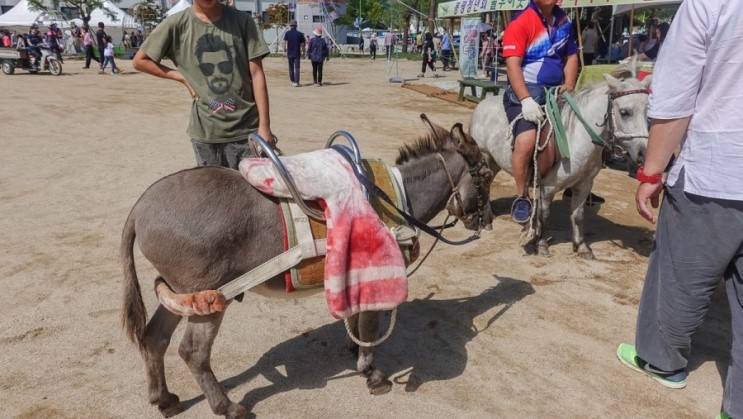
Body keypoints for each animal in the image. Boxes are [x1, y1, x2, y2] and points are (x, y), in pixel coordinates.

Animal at [470, 63, 652, 260]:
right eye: (624, 112)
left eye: (648, 114)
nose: (643, 154)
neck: (577, 136)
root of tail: (483, 104)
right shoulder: (548, 186)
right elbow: (544, 214)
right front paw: (541, 244)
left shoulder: (584, 185)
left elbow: (578, 215)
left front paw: (581, 246)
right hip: (485, 156)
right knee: (484, 183)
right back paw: (488, 219)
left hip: (495, 162)